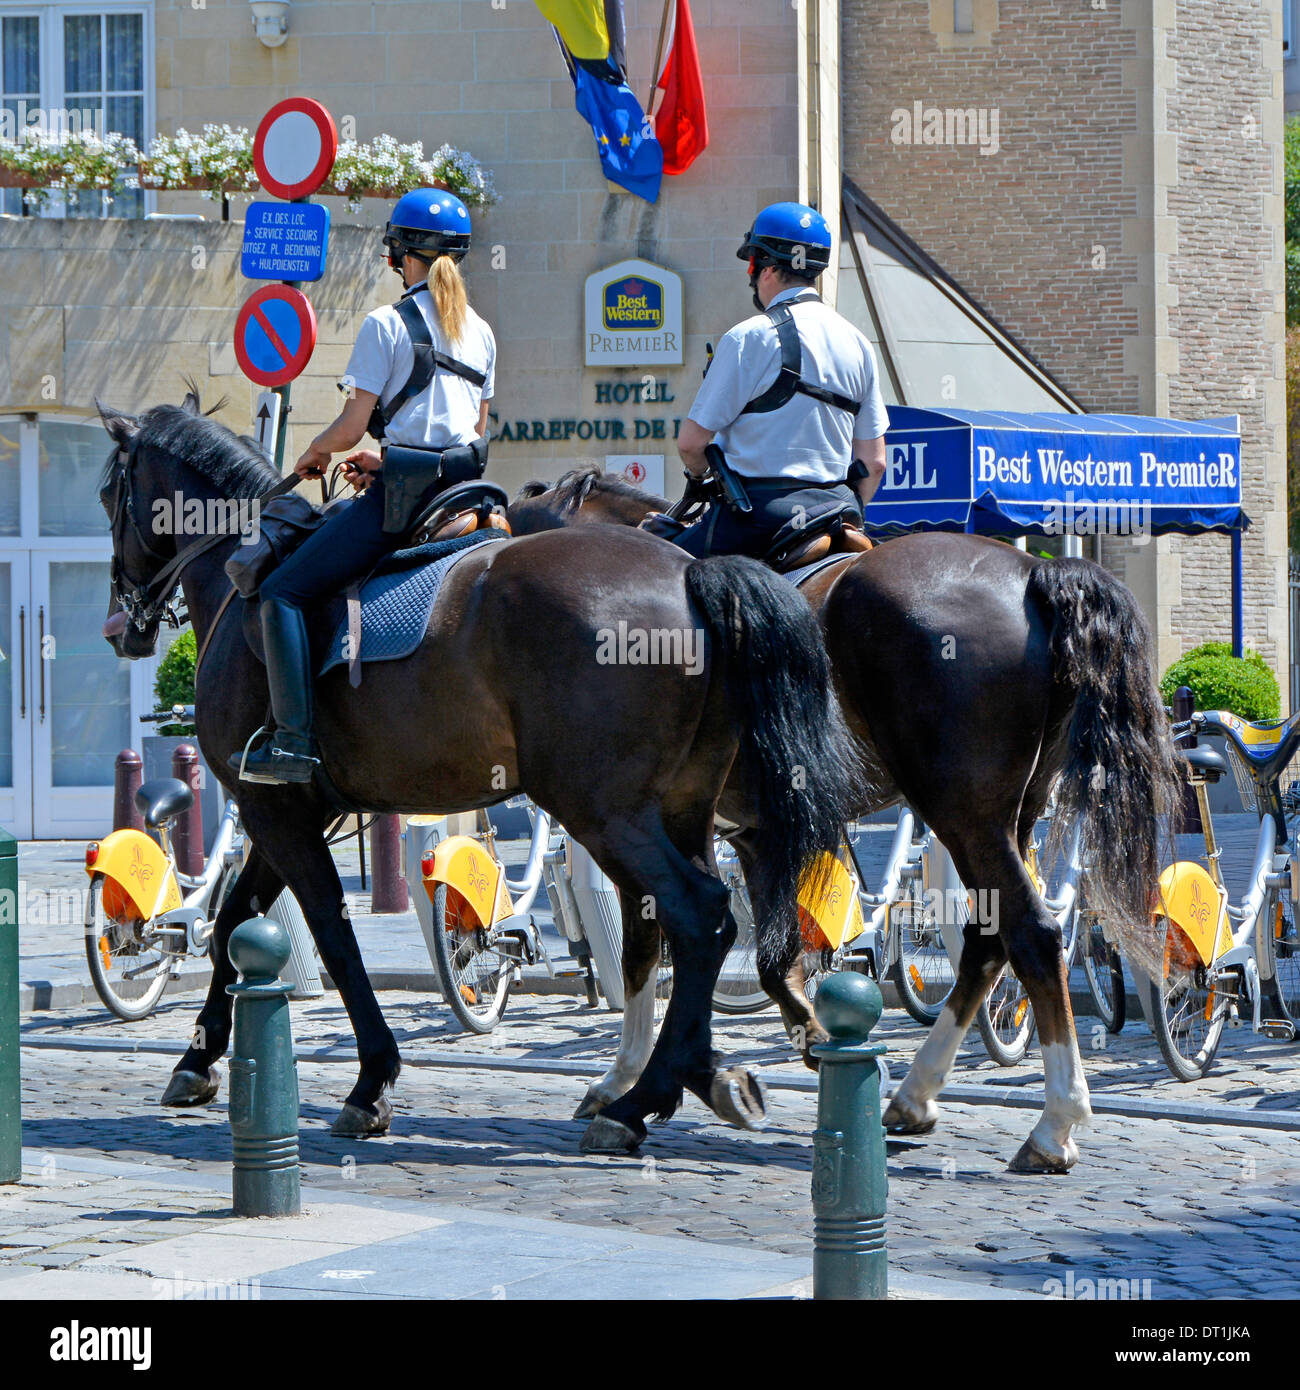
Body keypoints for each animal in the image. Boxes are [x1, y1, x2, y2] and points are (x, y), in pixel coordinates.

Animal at [93, 400, 862, 1150]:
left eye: (106, 493)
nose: (116, 626)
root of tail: (689, 574)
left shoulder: (273, 811)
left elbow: (329, 936)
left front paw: (371, 1081)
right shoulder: (287, 812)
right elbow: (234, 922)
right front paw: (196, 1060)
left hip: (605, 812)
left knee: (698, 915)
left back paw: (639, 1101)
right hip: (680, 808)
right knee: (686, 922)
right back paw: (681, 1075)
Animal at [514, 469, 1184, 1173]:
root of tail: (1033, 572)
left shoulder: (646, 828)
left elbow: (652, 949)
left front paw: (627, 1082)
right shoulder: (747, 834)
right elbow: (768, 957)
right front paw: (801, 1041)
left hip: (963, 813)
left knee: (1032, 934)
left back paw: (1055, 1123)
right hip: (1008, 817)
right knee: (988, 938)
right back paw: (916, 1095)